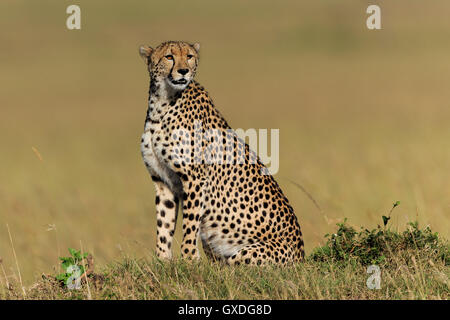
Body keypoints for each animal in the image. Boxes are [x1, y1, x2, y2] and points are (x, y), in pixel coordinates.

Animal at [139, 40, 304, 264]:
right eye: (169, 57)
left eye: (189, 56)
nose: (183, 71)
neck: (162, 102)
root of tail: (302, 257)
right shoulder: (163, 180)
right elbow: (164, 224)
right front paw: (162, 261)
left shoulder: (194, 178)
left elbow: (190, 224)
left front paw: (189, 259)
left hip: (247, 253)